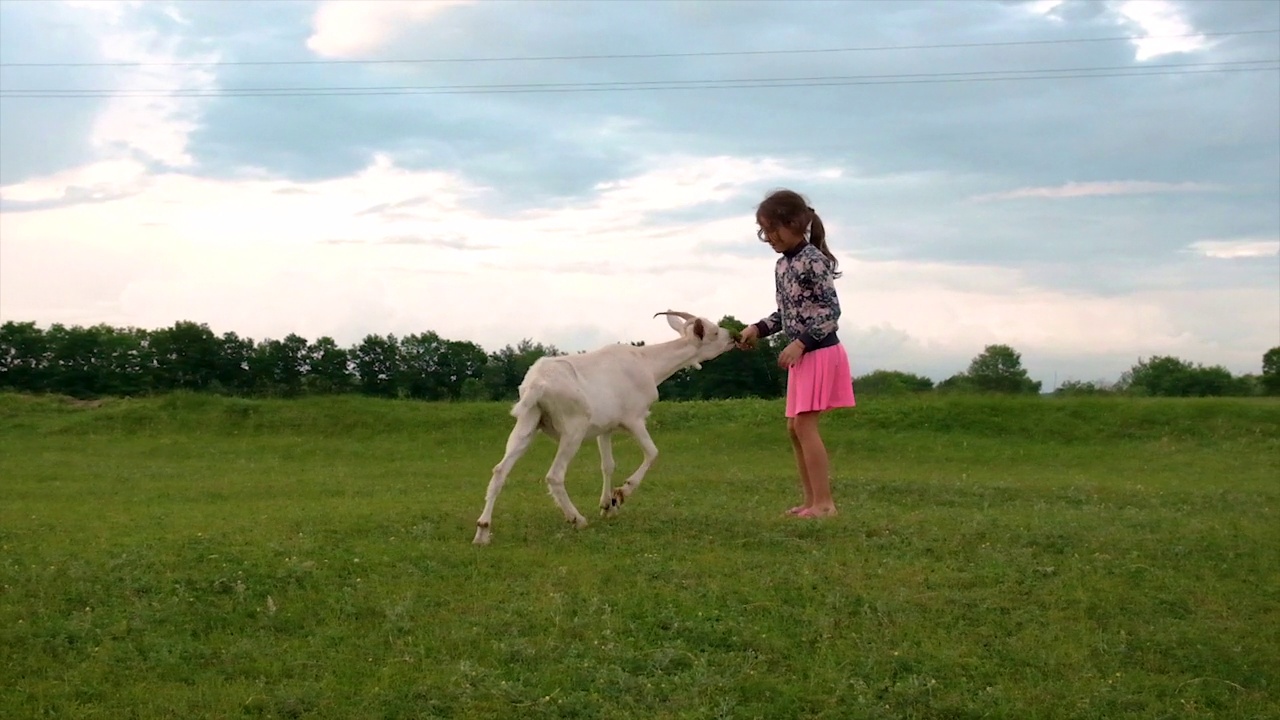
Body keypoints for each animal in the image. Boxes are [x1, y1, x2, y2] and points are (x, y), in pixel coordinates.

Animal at [473, 310, 737, 543]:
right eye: (714, 332)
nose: (733, 337)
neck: (648, 363)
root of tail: (537, 384)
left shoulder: (605, 428)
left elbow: (608, 465)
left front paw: (607, 506)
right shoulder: (634, 419)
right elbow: (652, 452)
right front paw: (622, 494)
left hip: (527, 423)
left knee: (500, 470)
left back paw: (482, 532)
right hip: (573, 428)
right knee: (554, 475)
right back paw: (577, 519)